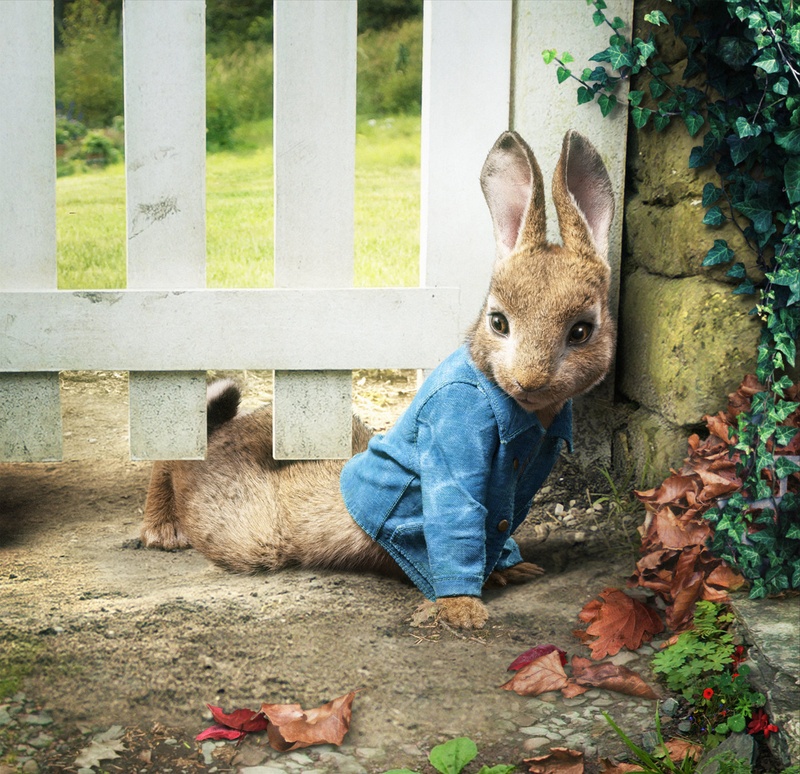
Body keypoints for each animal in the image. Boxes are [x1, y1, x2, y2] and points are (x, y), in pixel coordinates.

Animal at [140, 129, 616, 630]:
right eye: (499, 323)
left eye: (581, 331)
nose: (530, 379)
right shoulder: (456, 440)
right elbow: (457, 523)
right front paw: (463, 610)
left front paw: (515, 568)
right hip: (245, 528)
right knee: (179, 459)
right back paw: (162, 529)